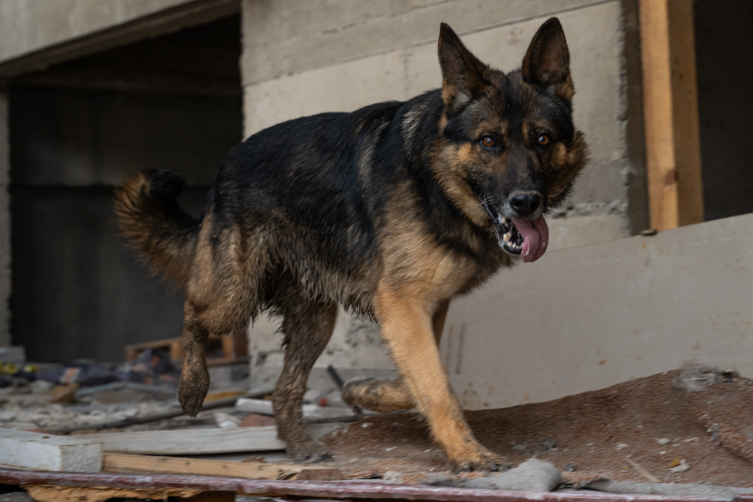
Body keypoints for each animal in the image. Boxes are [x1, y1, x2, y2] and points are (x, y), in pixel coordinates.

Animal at [116, 16, 588, 470]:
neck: (434, 180)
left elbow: (418, 379)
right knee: (193, 314)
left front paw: (365, 391)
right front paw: (467, 453)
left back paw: (299, 444)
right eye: (489, 141)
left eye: (543, 139)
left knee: (284, 389)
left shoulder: (423, 307)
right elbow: (436, 385)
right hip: (234, 294)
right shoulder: (402, 304)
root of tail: (228, 161)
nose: (526, 202)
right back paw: (192, 387)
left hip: (314, 322)